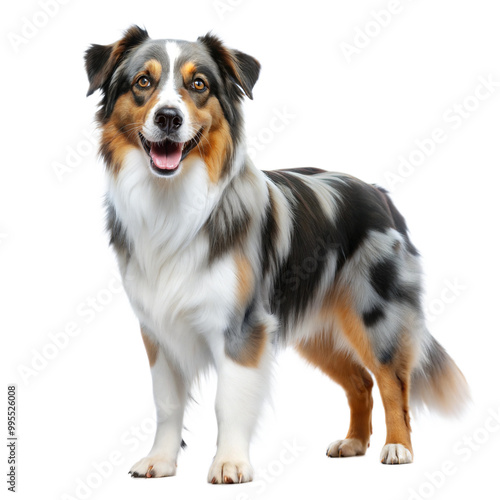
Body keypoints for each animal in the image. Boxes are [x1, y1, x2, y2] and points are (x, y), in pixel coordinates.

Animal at [85, 26, 468, 484]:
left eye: (199, 85)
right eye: (143, 81)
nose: (168, 118)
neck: (172, 200)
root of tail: (378, 192)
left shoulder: (243, 326)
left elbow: (228, 400)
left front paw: (230, 464)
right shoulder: (158, 328)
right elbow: (167, 401)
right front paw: (160, 461)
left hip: (375, 313)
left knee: (394, 380)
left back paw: (398, 447)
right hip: (315, 330)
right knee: (360, 381)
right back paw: (354, 443)